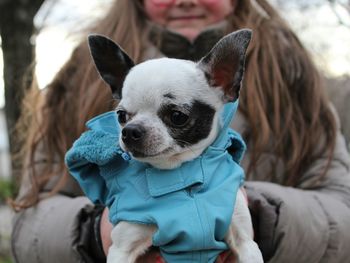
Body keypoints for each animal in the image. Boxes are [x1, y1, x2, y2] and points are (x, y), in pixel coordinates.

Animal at [86, 29, 264, 262]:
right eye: (121, 116)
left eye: (177, 116)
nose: (130, 131)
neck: (179, 174)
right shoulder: (122, 248)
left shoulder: (245, 242)